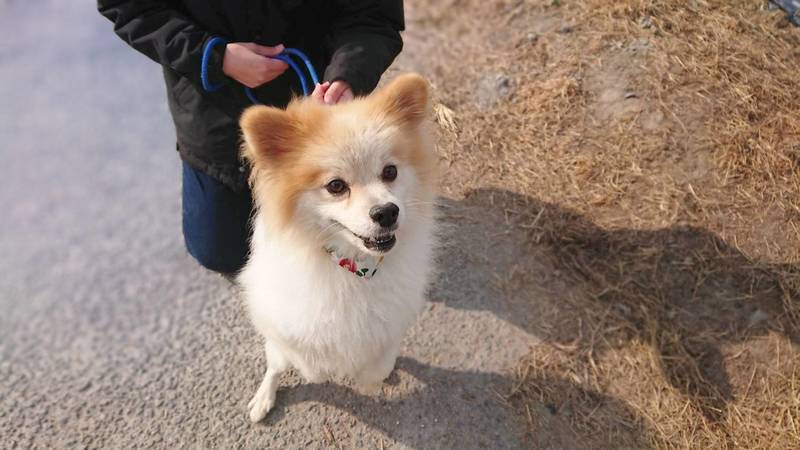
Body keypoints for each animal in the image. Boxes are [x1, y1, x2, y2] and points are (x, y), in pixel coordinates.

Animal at [237, 73, 437, 423]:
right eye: (335, 186)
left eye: (390, 172)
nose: (387, 212)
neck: (354, 266)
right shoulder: (288, 326)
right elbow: (304, 361)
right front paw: (320, 371)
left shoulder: (391, 325)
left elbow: (378, 364)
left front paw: (373, 376)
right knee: (275, 365)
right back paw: (263, 398)